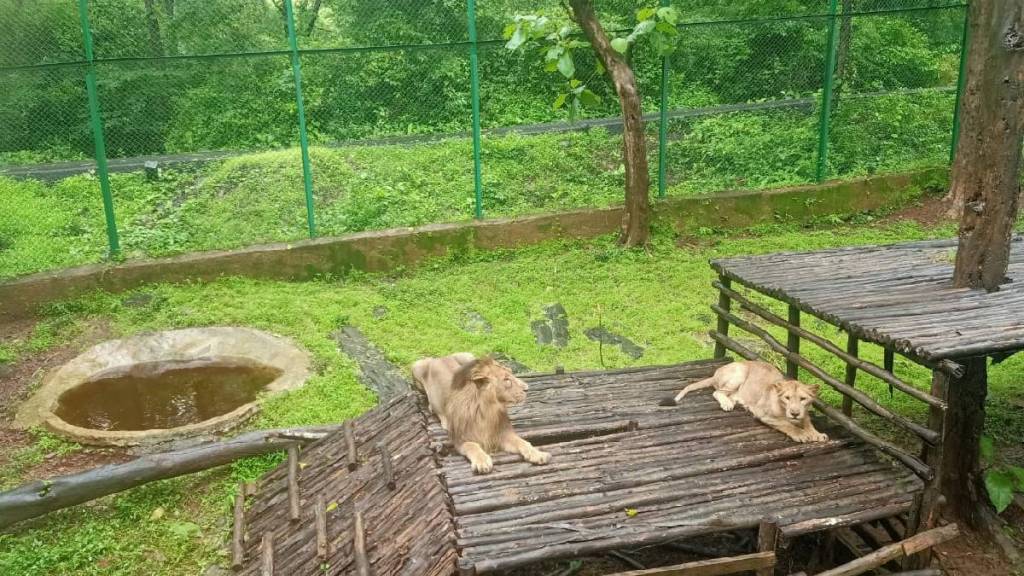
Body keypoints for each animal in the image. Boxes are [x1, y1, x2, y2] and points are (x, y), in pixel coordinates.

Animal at [409, 354, 552, 471]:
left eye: (512, 374)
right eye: (506, 380)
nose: (527, 388)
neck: (487, 409)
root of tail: (439, 357)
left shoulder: (502, 433)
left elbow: (523, 442)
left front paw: (538, 454)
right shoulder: (460, 440)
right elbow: (473, 446)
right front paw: (482, 462)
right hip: (417, 366)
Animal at [659, 358, 827, 444]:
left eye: (803, 399)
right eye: (787, 398)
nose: (794, 413)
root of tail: (716, 372)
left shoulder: (804, 413)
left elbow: (808, 422)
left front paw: (817, 434)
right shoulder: (763, 415)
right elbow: (786, 424)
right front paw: (802, 434)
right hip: (740, 372)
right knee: (717, 392)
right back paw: (727, 404)